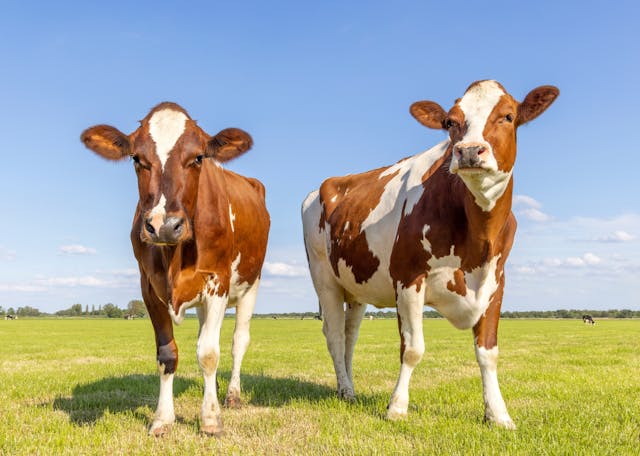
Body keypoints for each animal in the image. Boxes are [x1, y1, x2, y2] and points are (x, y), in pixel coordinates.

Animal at [81, 102, 270, 437]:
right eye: (137, 159)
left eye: (198, 158)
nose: (164, 226)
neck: (175, 256)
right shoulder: (148, 287)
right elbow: (167, 354)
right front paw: (162, 419)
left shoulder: (218, 282)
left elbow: (209, 353)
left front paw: (210, 419)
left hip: (251, 283)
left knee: (238, 341)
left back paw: (232, 395)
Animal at [302, 80, 558, 429]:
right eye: (450, 122)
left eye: (508, 116)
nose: (468, 150)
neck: (478, 236)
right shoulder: (408, 278)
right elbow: (412, 349)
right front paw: (397, 408)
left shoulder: (495, 282)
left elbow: (488, 352)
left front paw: (498, 414)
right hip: (324, 278)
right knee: (334, 336)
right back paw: (347, 391)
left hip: (356, 285)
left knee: (349, 335)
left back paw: (348, 389)